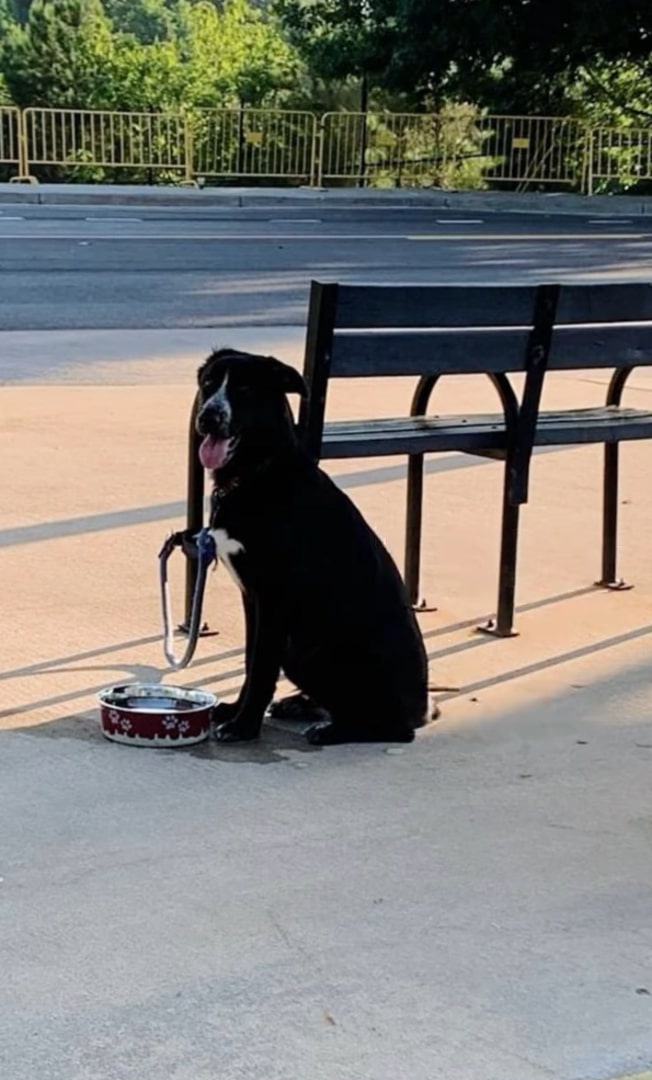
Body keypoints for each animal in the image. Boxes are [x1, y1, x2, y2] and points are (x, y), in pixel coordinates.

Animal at [196, 349, 436, 747]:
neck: (259, 472)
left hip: (313, 650)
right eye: (208, 382)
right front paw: (236, 711)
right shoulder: (253, 600)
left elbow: (261, 668)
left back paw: (332, 730)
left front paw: (244, 727)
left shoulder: (274, 600)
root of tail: (423, 709)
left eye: (245, 388)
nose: (208, 417)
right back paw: (302, 705)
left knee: (392, 729)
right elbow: (250, 661)